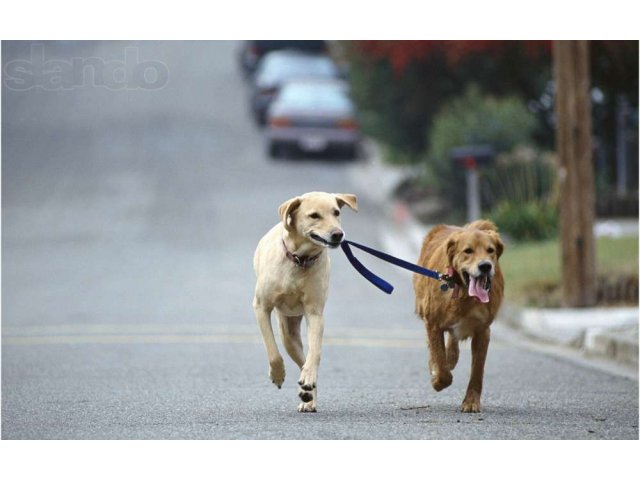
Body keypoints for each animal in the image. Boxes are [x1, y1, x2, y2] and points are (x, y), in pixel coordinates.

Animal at [252, 192, 358, 412]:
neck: (299, 260)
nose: (338, 234)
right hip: (288, 334)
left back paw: (308, 393)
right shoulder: (261, 307)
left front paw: (308, 380)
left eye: (336, 212)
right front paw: (277, 374)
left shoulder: (315, 313)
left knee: (305, 361)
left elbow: (315, 352)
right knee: (293, 353)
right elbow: (272, 350)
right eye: (314, 215)